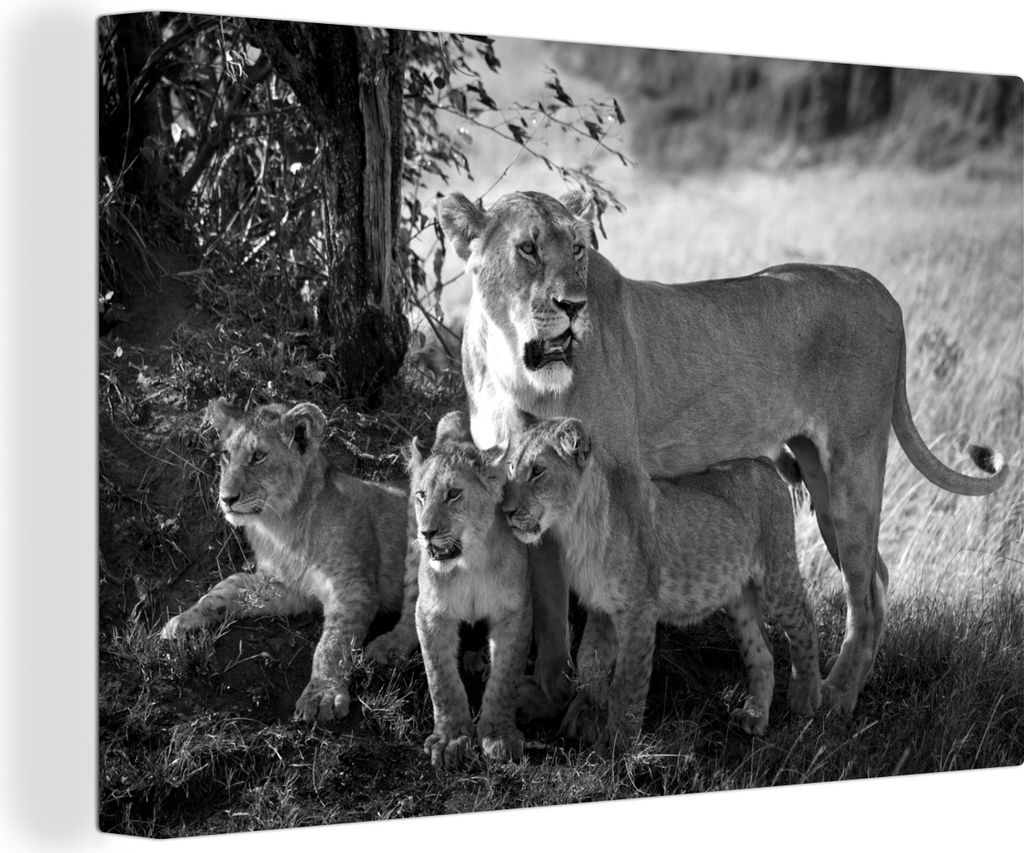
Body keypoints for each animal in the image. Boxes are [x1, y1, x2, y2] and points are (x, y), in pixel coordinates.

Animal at [160, 398, 420, 723]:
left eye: (259, 456)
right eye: (226, 455)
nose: (226, 499)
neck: (281, 525)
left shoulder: (353, 587)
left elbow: (333, 644)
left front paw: (321, 696)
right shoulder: (286, 586)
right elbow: (224, 589)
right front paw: (181, 621)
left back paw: (386, 648)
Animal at [410, 412, 531, 769]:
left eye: (453, 494)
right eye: (421, 496)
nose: (426, 532)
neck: (471, 563)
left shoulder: (516, 611)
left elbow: (506, 676)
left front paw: (498, 735)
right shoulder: (430, 612)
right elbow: (441, 678)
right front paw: (450, 738)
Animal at [437, 188, 1008, 714]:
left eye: (577, 248)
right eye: (528, 248)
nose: (574, 307)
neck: (514, 370)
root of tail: (881, 290)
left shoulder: (610, 482)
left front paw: (581, 698)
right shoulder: (524, 499)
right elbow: (549, 606)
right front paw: (548, 693)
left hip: (855, 467)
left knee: (863, 595)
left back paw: (834, 699)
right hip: (820, 481)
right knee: (876, 577)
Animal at [502, 415, 821, 751]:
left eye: (537, 471)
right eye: (511, 469)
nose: (506, 512)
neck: (575, 529)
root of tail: (761, 462)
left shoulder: (639, 610)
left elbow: (629, 683)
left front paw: (614, 747)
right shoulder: (601, 609)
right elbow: (587, 659)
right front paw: (594, 702)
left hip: (777, 575)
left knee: (805, 623)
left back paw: (805, 700)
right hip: (739, 600)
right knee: (762, 652)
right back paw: (754, 716)